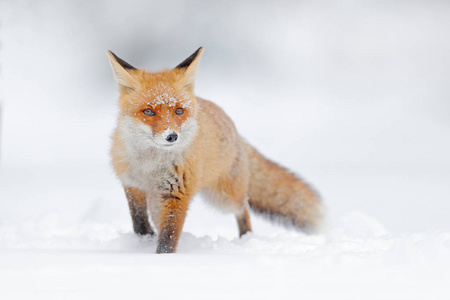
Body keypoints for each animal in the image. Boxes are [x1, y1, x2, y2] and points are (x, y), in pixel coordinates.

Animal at [107, 47, 322, 253]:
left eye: (179, 110)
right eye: (148, 111)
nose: (172, 136)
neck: (151, 166)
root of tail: (236, 131)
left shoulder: (178, 193)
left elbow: (168, 237)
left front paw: (161, 257)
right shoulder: (132, 185)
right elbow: (139, 221)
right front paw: (145, 240)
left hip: (224, 197)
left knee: (243, 207)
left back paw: (246, 238)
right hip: (159, 200)